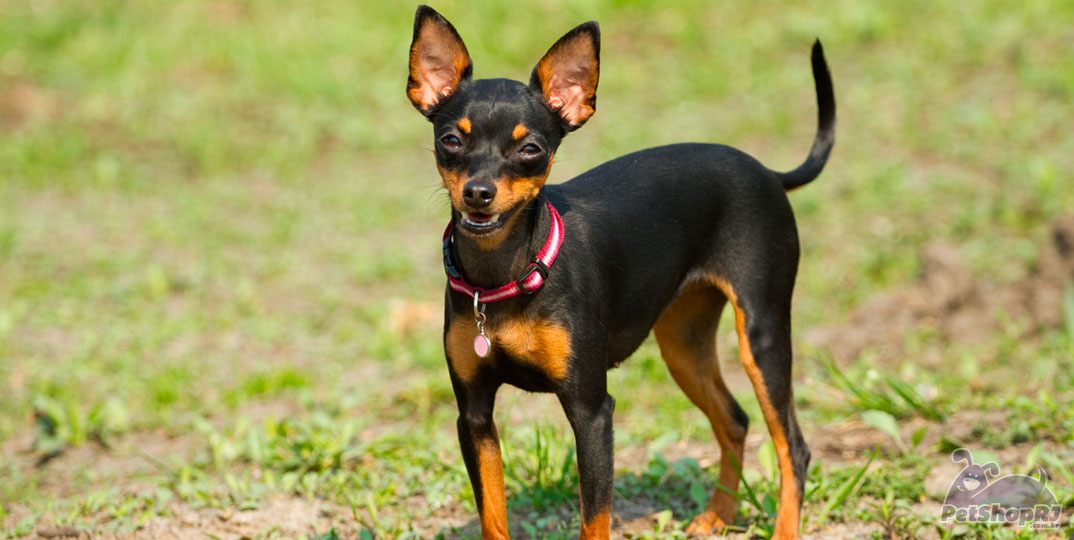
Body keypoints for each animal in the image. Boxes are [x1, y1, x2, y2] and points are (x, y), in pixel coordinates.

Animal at [405, 5, 833, 540]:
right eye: (451, 141)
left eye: (531, 150)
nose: (478, 192)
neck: (504, 273)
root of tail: (768, 173)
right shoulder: (475, 416)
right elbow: (493, 517)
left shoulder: (591, 413)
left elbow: (595, 519)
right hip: (682, 344)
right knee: (734, 419)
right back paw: (718, 514)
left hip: (762, 334)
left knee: (793, 446)